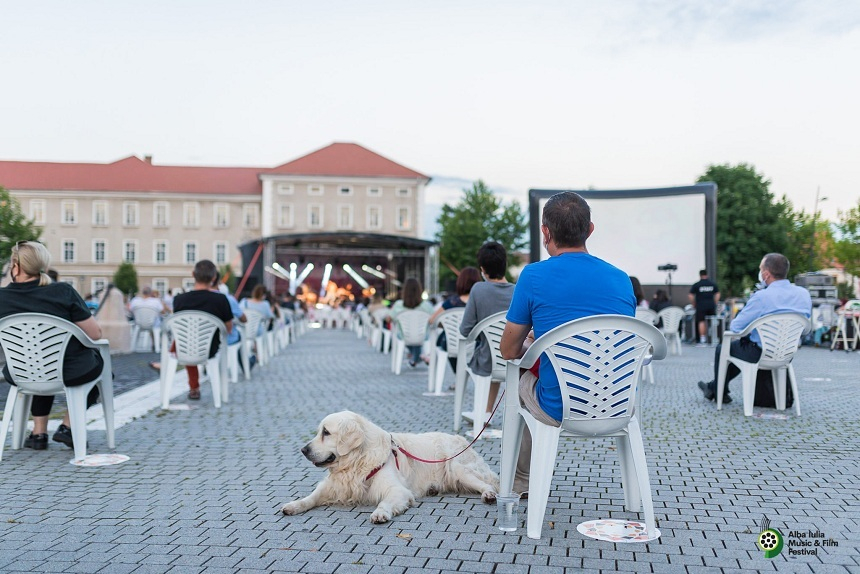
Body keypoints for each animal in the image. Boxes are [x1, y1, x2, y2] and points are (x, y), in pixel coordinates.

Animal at [282, 412, 498, 524]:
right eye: (319, 431)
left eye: (326, 432)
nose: (303, 449)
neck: (357, 462)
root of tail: (463, 440)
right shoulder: (334, 486)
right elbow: (311, 497)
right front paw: (294, 505)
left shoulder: (397, 490)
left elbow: (385, 501)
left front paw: (380, 513)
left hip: (459, 468)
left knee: (487, 484)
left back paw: (488, 495)